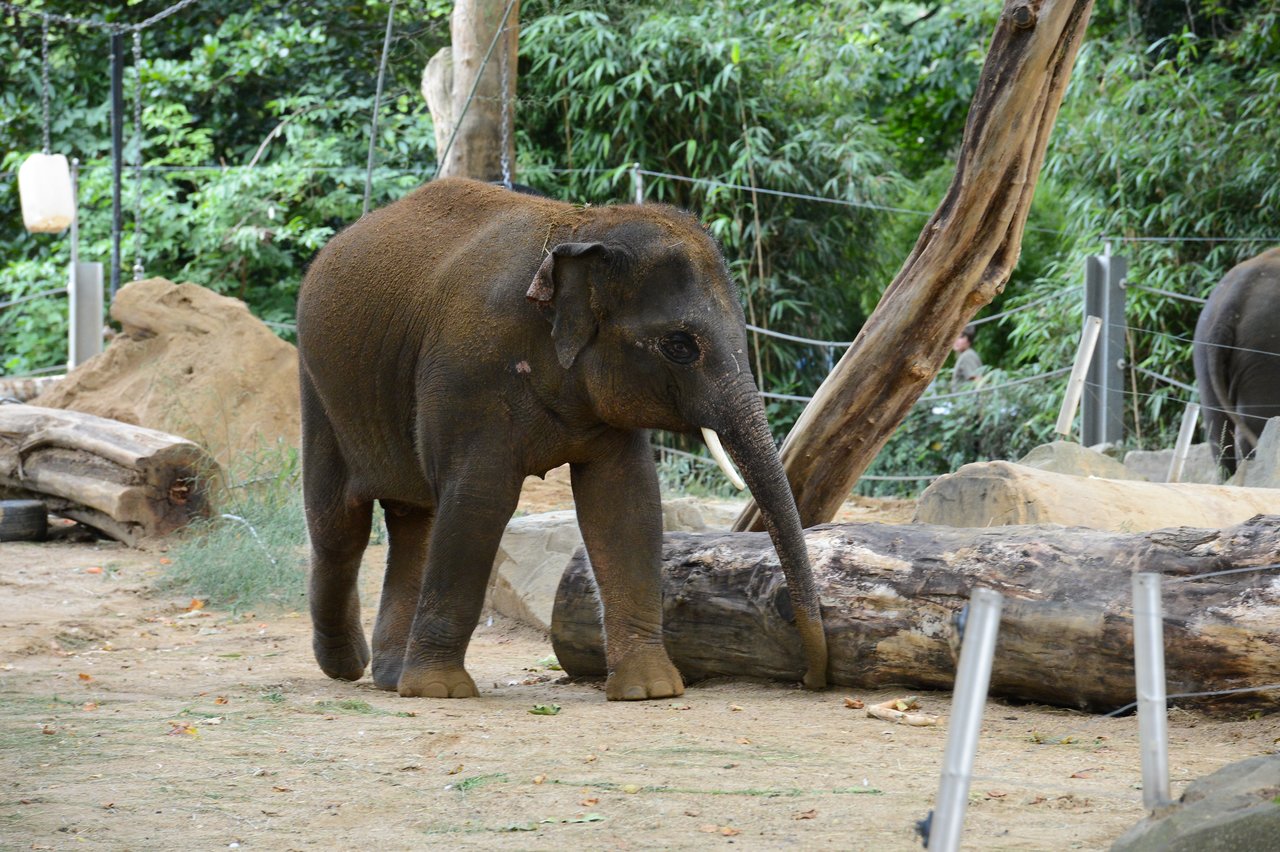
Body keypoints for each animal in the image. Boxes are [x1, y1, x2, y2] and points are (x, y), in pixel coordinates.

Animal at [295, 177, 828, 700]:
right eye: (679, 346)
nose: (811, 677)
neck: (582, 226)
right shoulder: (470, 374)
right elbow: (478, 500)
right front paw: (441, 692)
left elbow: (624, 500)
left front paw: (650, 690)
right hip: (321, 394)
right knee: (340, 528)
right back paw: (349, 666)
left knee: (413, 523)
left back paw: (389, 676)